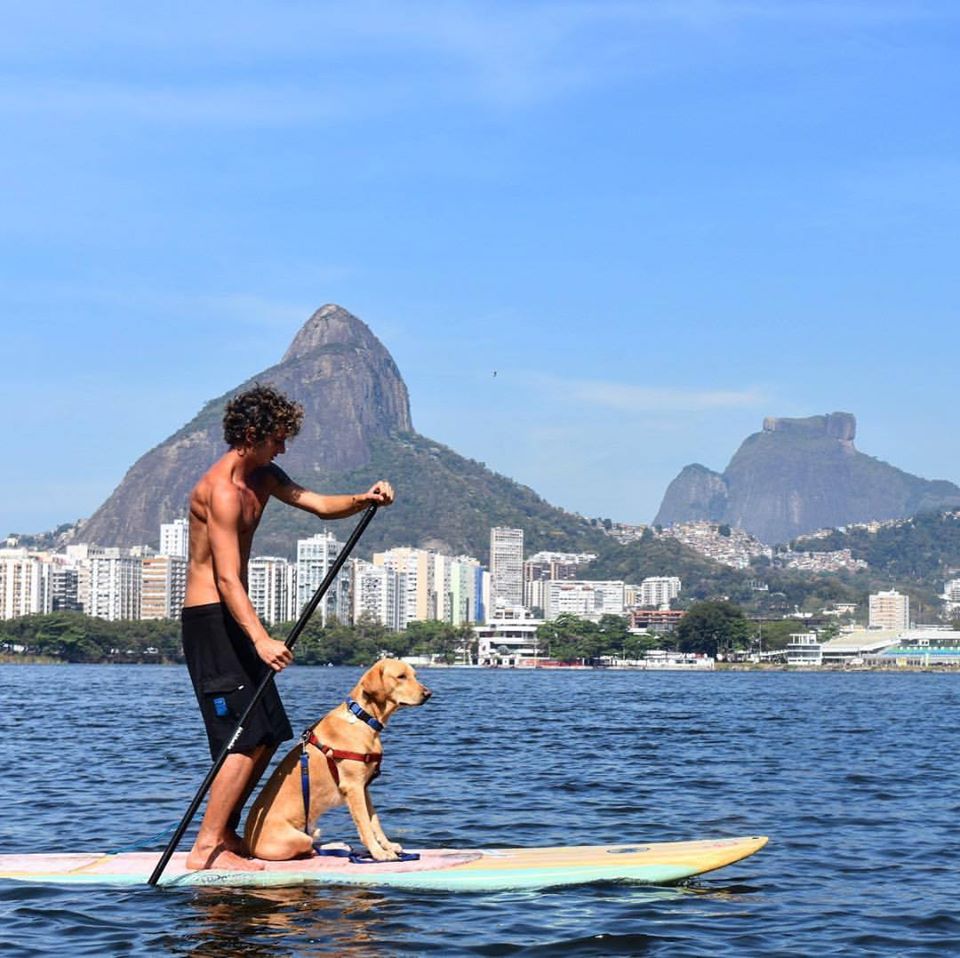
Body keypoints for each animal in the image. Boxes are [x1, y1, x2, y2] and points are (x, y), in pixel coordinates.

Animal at [244, 660, 432, 864]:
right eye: (401, 677)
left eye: (414, 675)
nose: (428, 693)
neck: (363, 718)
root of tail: (247, 845)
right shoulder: (353, 787)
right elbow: (365, 825)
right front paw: (379, 853)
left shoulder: (364, 787)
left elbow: (374, 821)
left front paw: (387, 846)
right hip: (300, 837)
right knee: (309, 849)